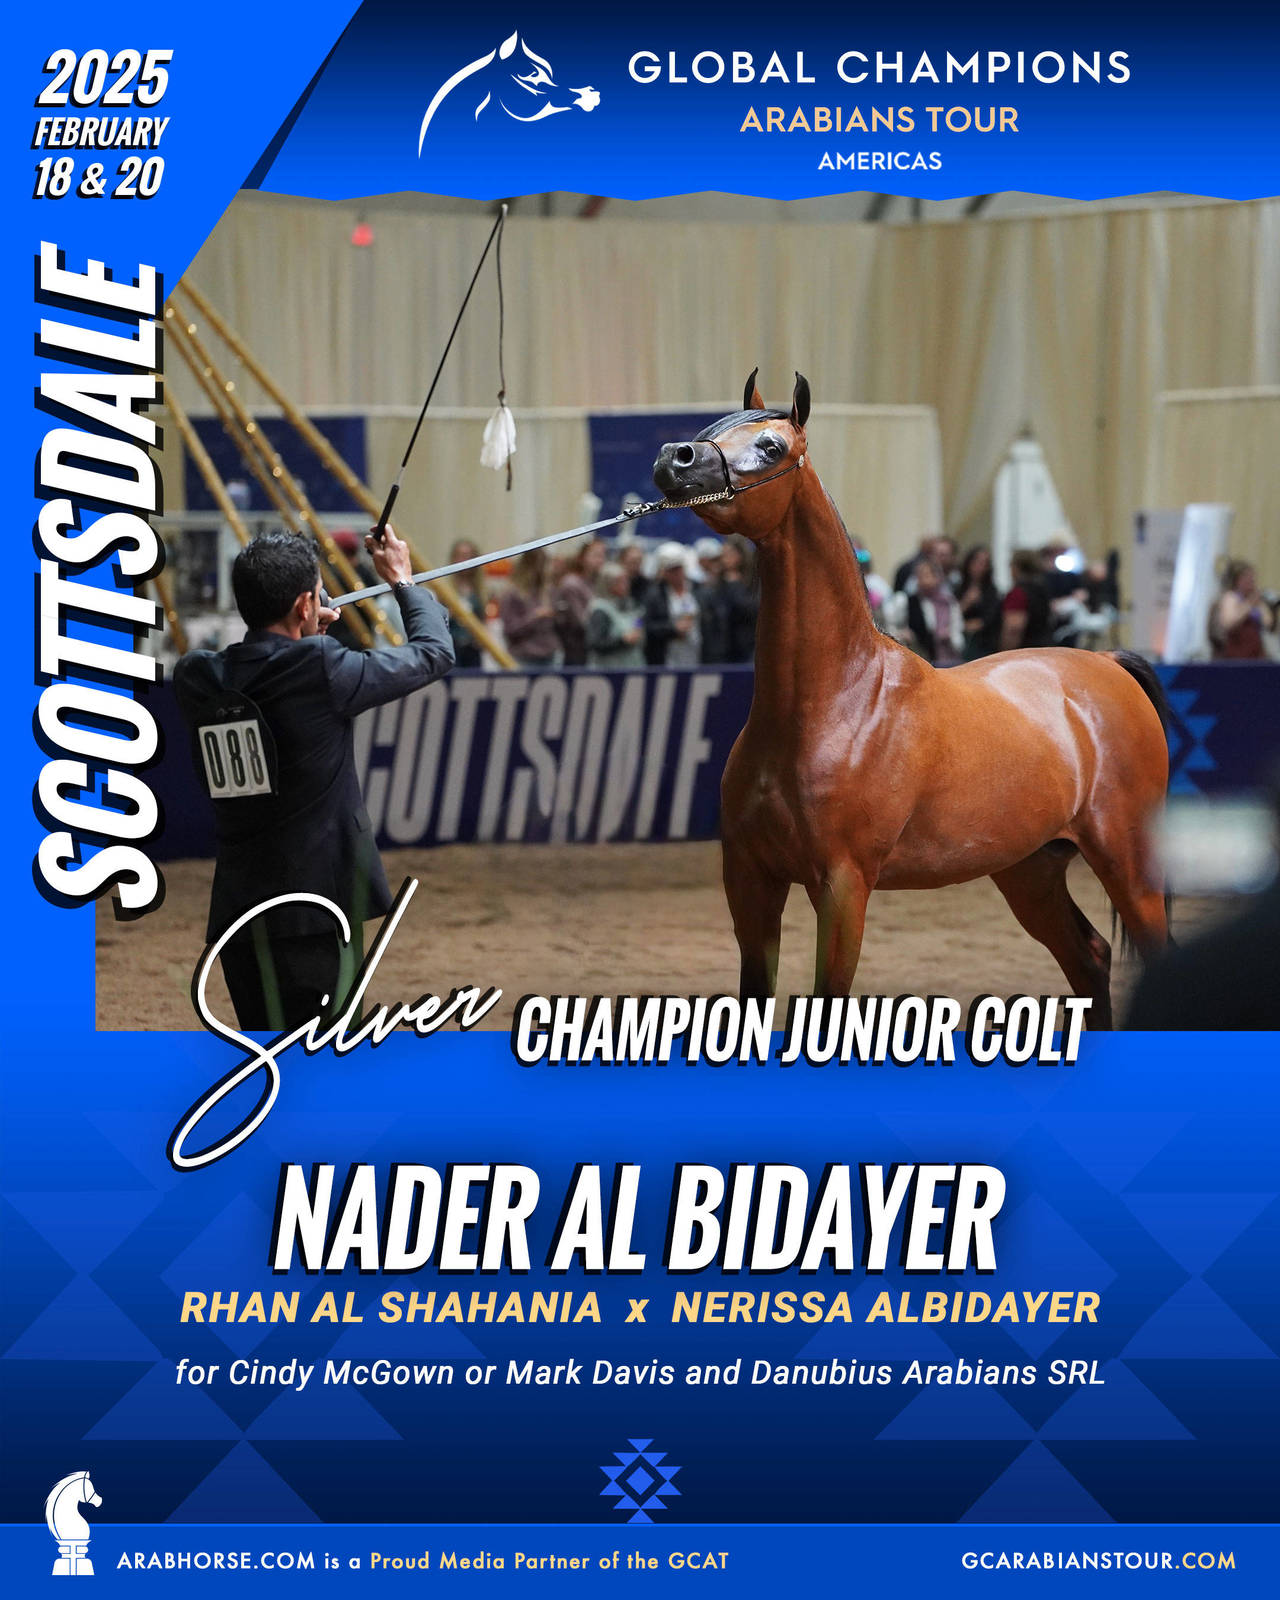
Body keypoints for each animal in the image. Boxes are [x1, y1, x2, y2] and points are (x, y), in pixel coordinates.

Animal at [652, 372, 1170, 1027]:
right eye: (712, 426)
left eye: (771, 446)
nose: (675, 459)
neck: (833, 705)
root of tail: (1107, 663)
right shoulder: (749, 880)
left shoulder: (843, 886)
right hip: (1030, 870)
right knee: (1090, 958)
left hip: (1129, 866)